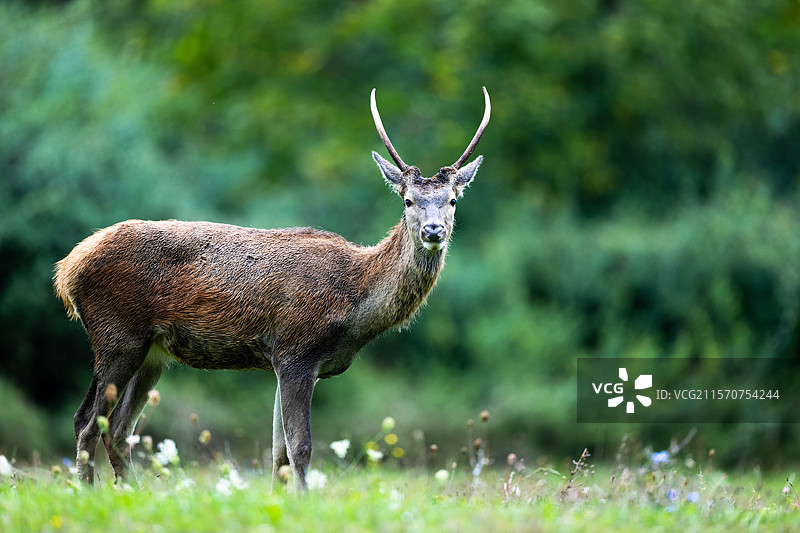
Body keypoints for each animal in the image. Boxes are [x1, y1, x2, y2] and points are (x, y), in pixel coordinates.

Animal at [54, 87, 490, 490]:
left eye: (452, 200)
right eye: (408, 200)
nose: (433, 230)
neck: (355, 304)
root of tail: (68, 270)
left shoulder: (290, 363)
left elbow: (279, 451)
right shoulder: (295, 351)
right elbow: (300, 446)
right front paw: (305, 501)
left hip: (153, 352)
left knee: (118, 429)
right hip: (117, 333)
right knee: (87, 421)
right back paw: (89, 493)